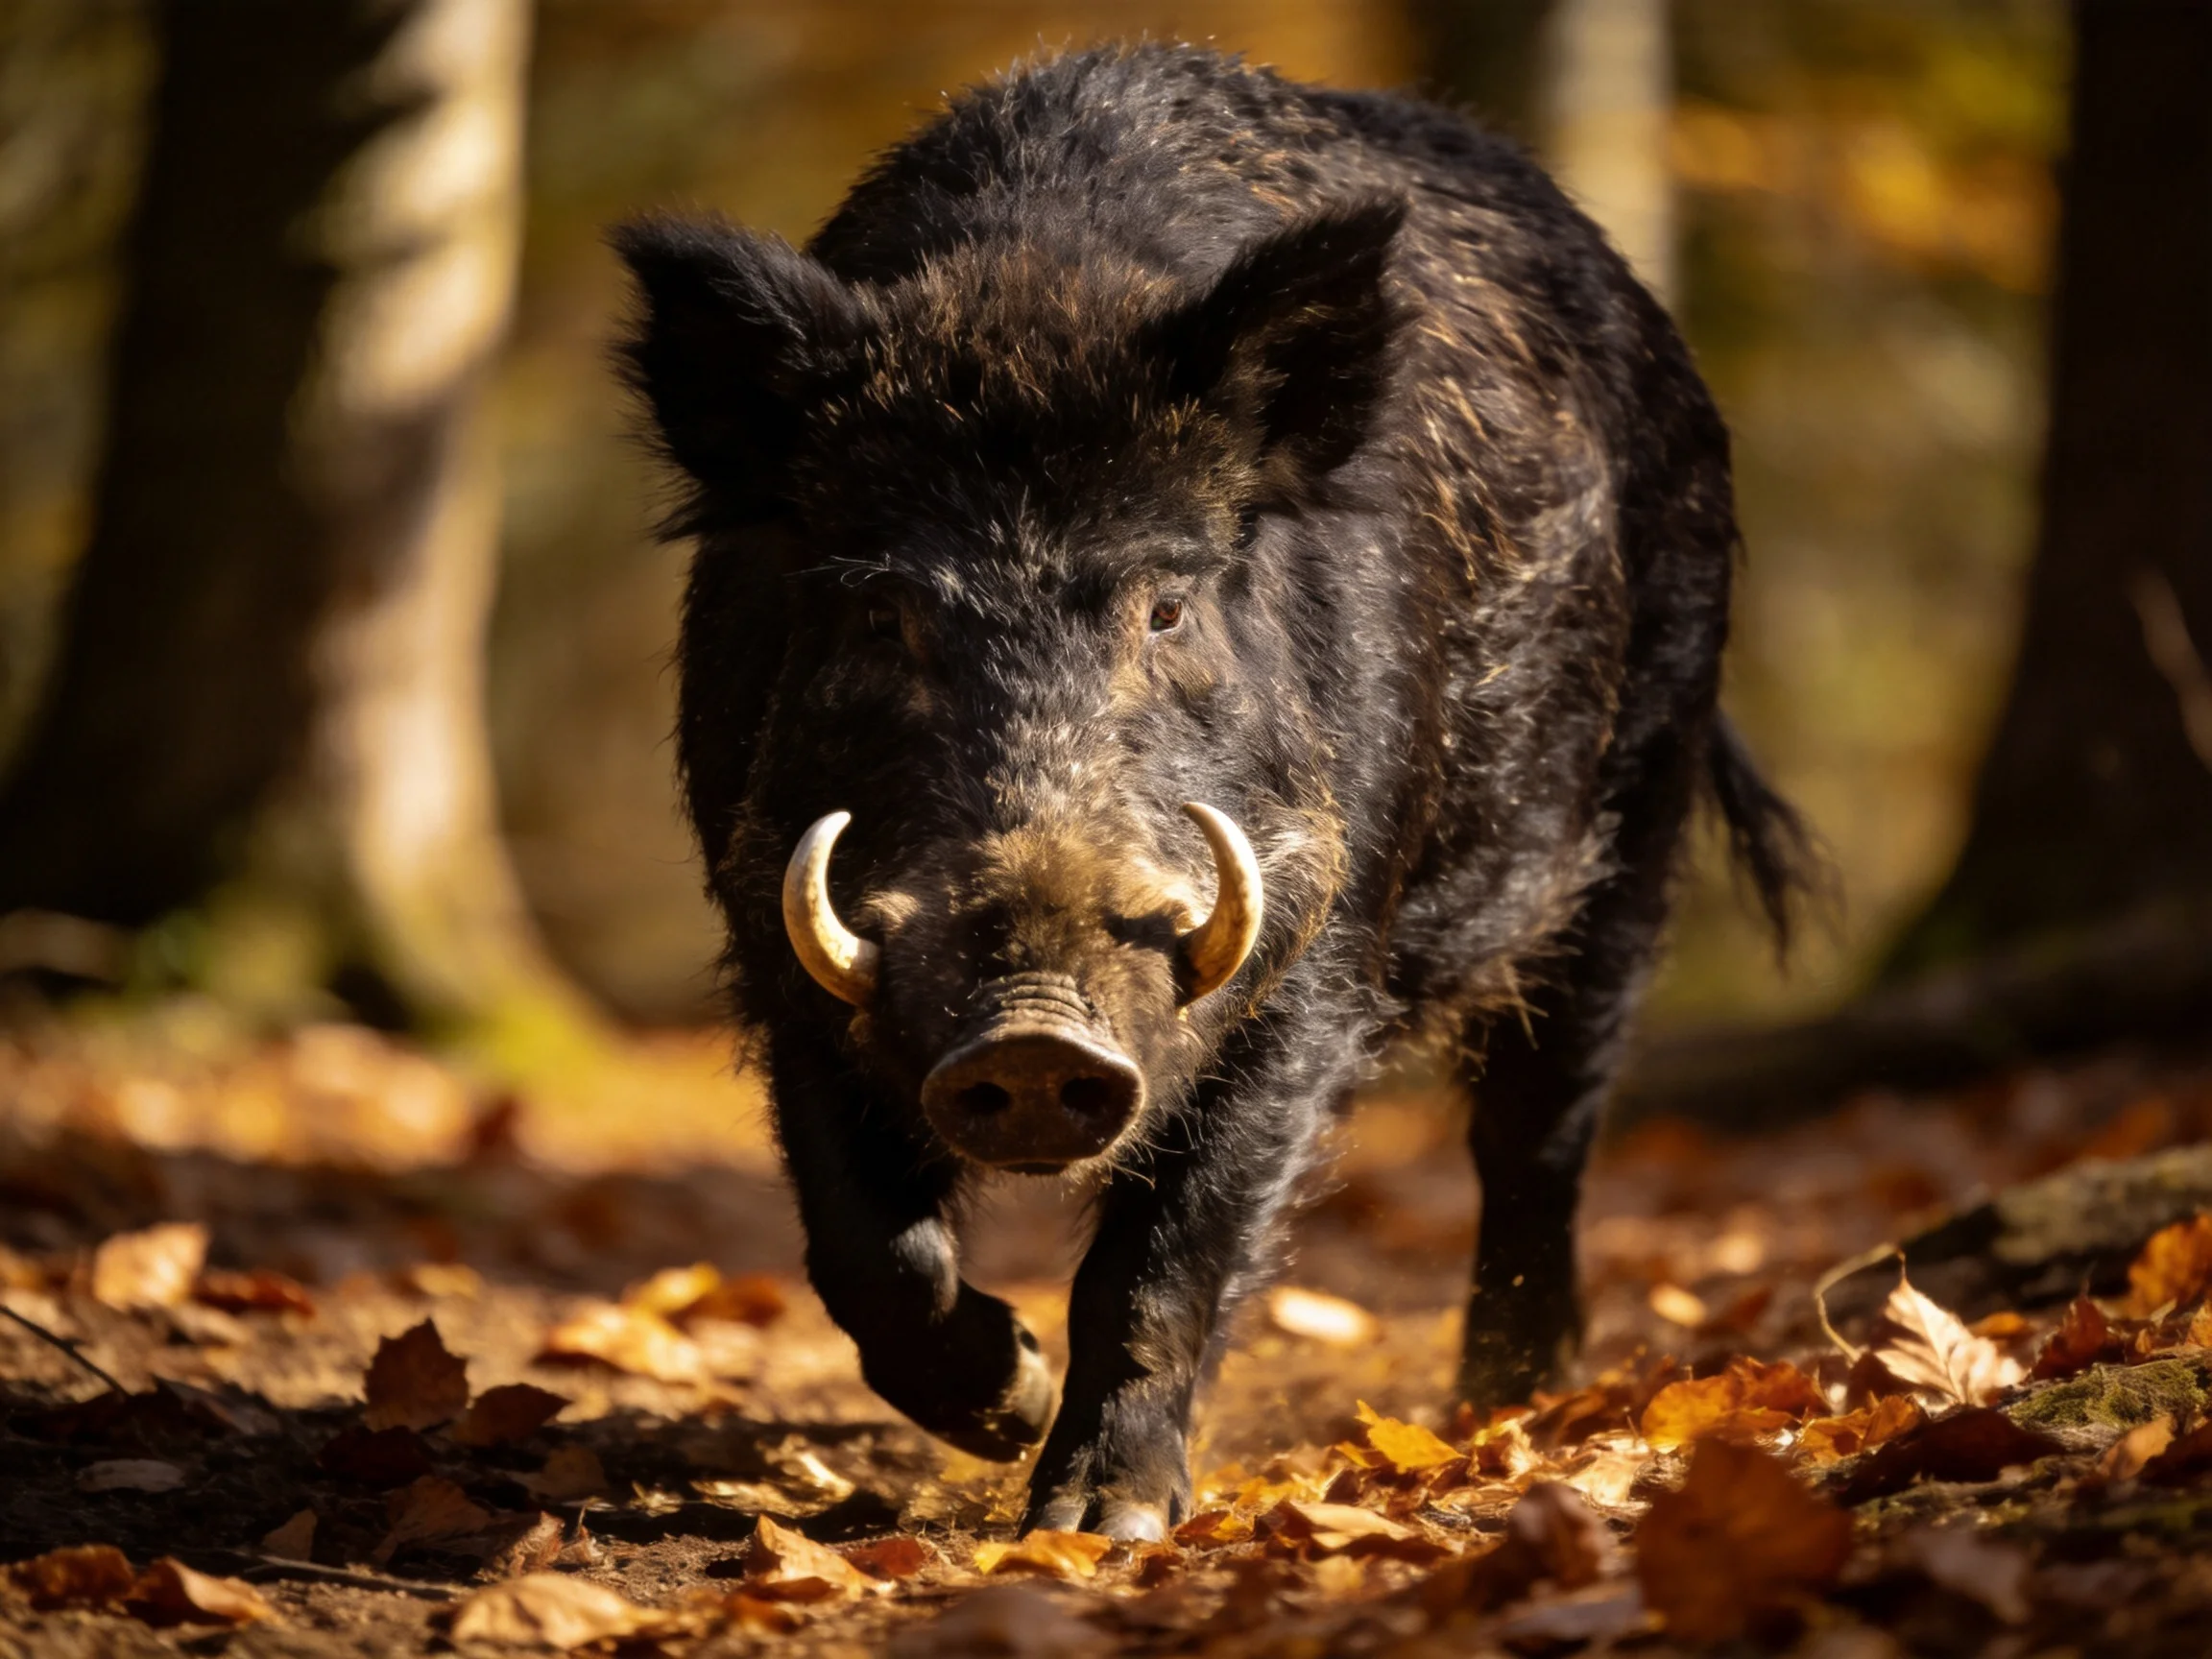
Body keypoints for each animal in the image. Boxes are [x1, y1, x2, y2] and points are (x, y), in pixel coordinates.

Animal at [614, 42, 1810, 1540]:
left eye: (1170, 606)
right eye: (881, 618)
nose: (1035, 1034)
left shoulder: (1320, 947)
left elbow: (1176, 1245)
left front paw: (1098, 1525)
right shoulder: (775, 922)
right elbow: (860, 1236)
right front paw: (1006, 1400)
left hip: (1636, 811)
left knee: (1540, 1128)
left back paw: (1501, 1409)